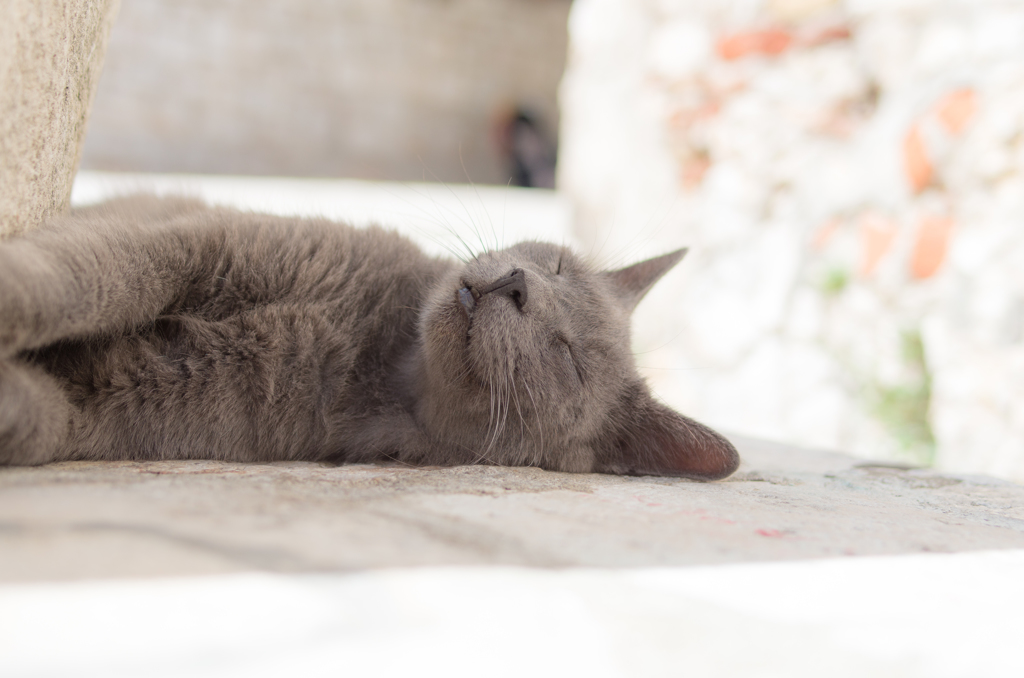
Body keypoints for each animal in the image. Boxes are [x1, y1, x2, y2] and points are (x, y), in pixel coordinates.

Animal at [0, 196, 741, 481]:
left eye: (567, 359)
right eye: (555, 264)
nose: (515, 283)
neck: (372, 350)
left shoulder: (112, 407)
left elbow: (40, 417)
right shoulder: (193, 241)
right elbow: (96, 278)